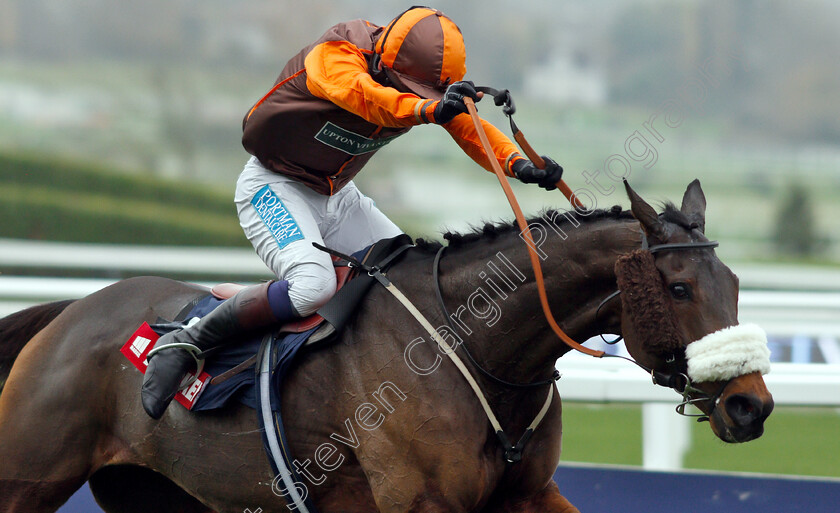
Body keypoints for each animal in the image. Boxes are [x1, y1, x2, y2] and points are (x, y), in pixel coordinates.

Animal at [0, 181, 776, 512]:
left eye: (736, 282)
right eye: (679, 286)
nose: (752, 405)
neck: (477, 349)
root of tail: (72, 310)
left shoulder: (529, 492)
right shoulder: (420, 501)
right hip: (28, 475)